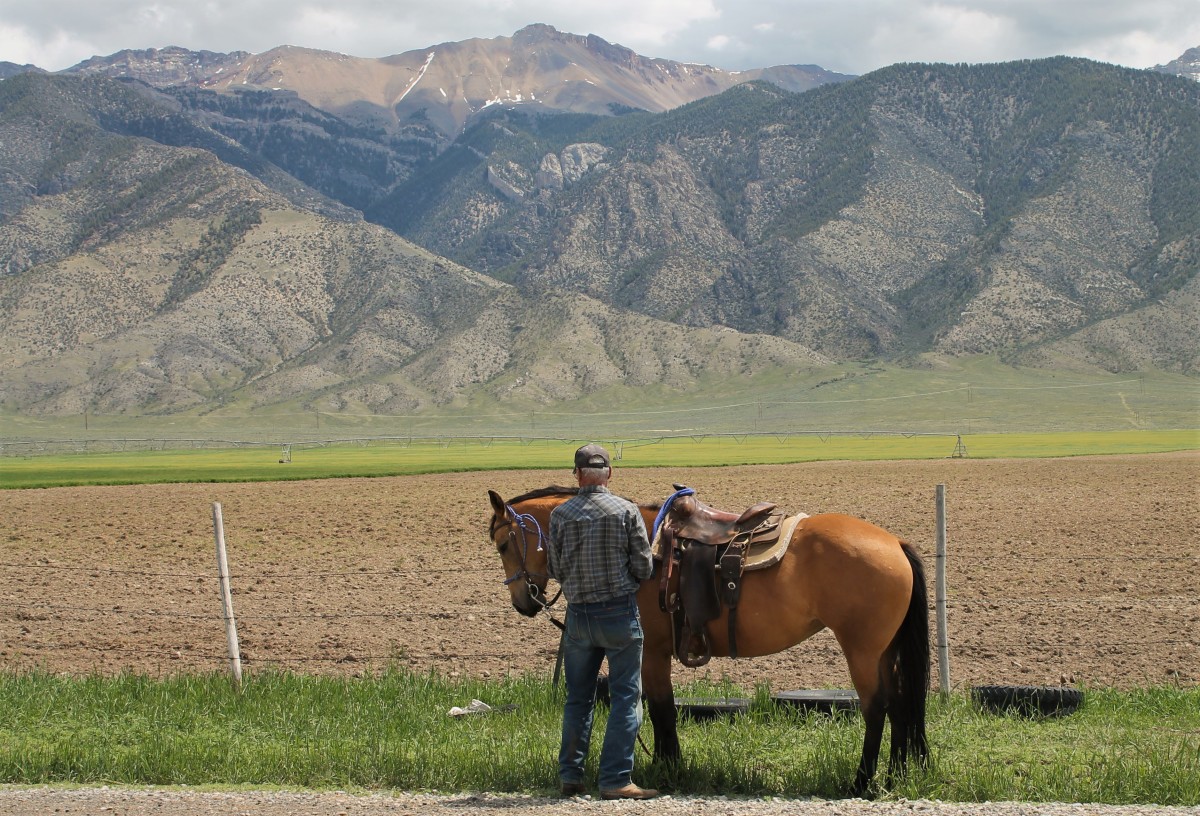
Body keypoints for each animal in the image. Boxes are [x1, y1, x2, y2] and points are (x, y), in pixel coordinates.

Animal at [484, 484, 926, 796]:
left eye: (504, 544)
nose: (524, 603)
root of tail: (895, 543)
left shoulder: (651, 652)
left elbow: (661, 709)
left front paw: (669, 769)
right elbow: (660, 710)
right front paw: (667, 765)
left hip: (861, 651)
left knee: (877, 708)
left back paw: (862, 782)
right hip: (884, 651)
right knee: (901, 704)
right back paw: (896, 774)